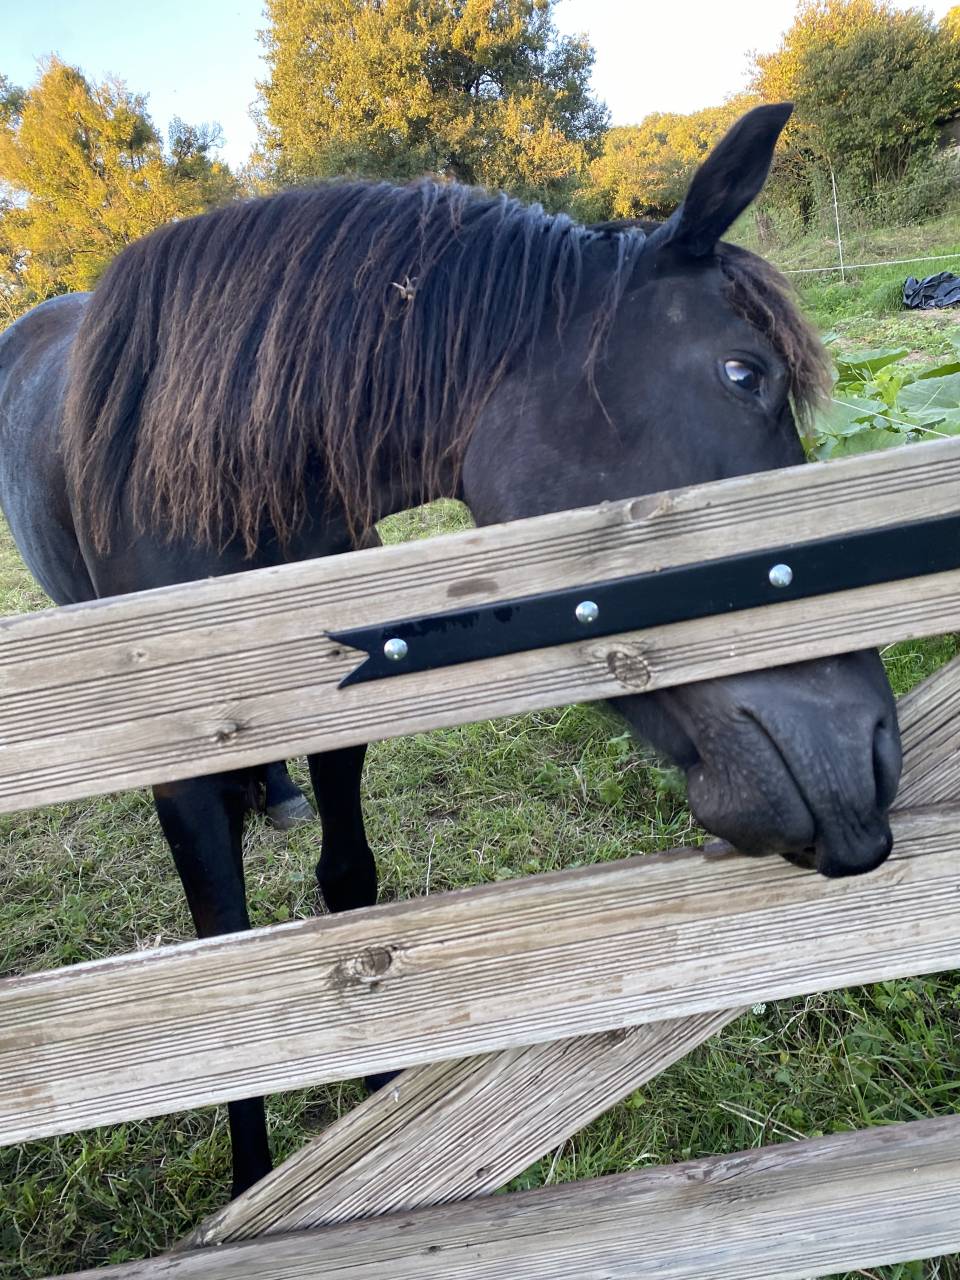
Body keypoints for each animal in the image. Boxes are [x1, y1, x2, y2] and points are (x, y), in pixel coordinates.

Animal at [0, 103, 901, 1200]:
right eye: (743, 372)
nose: (871, 751)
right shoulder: (175, 771)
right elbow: (227, 965)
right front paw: (257, 1174)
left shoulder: (340, 703)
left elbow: (350, 889)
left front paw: (378, 1087)